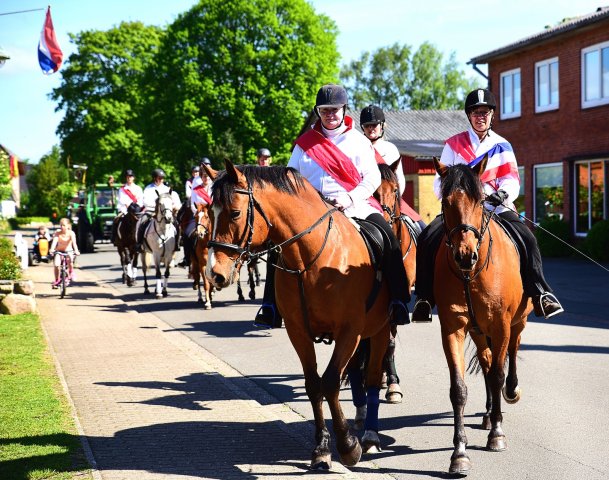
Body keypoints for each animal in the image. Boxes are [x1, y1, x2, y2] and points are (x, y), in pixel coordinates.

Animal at [204, 161, 392, 468]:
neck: (312, 259)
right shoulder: (298, 331)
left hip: (381, 329)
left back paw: (371, 435)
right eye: (210, 213)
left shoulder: (349, 330)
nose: (214, 274)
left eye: (234, 213)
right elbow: (314, 384)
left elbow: (330, 382)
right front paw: (322, 448)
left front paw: (348, 445)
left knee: (374, 375)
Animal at [432, 158, 532, 476]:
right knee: (487, 362)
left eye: (479, 201)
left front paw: (497, 435)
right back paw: (489, 414)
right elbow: (459, 389)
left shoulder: (501, 324)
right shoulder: (453, 328)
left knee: (510, 354)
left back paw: (510, 394)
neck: (470, 274)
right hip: (478, 330)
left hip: (518, 322)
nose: (466, 255)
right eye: (446, 201)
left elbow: (499, 374)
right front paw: (459, 453)